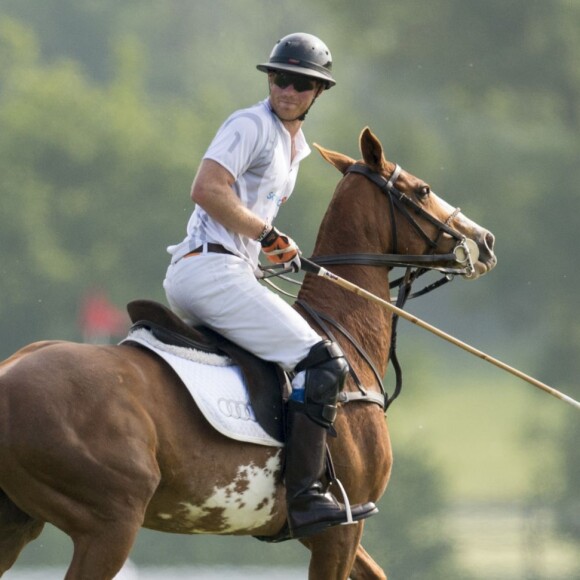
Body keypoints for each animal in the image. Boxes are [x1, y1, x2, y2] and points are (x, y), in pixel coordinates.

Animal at [0, 128, 496, 580]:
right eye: (422, 189)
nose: (486, 240)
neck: (341, 327)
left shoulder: (337, 528)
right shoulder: (342, 525)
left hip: (19, 522)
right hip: (110, 522)